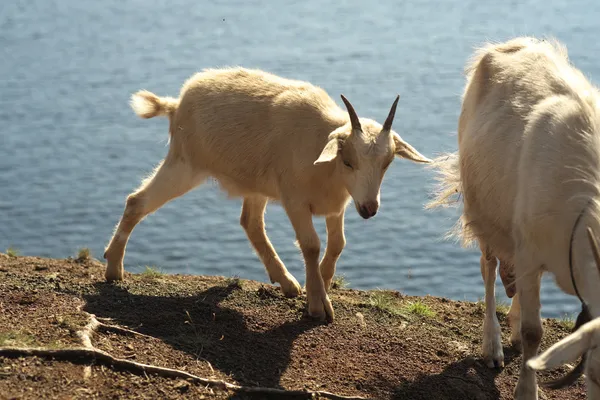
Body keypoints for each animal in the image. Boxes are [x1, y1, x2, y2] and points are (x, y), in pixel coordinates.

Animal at [104, 66, 432, 322]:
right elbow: (311, 245)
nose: (369, 209)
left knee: (250, 222)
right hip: (185, 164)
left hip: (253, 184)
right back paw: (113, 268)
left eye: (387, 163)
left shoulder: (336, 204)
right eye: (348, 161)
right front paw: (318, 306)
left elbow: (338, 244)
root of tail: (174, 105)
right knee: (137, 201)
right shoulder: (295, 200)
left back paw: (286, 282)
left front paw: (322, 283)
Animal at [426, 36, 600, 398]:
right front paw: (525, 391)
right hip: (482, 211)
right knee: (489, 268)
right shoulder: (530, 251)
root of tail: (514, 43)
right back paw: (492, 346)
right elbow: (536, 332)